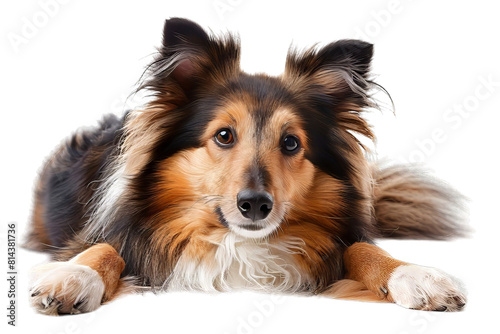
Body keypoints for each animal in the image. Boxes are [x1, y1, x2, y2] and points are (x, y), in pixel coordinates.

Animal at [24, 18, 468, 316]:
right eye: (223, 135)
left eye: (291, 142)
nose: (255, 205)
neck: (235, 242)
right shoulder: (108, 231)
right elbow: (103, 248)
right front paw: (73, 278)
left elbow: (363, 248)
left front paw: (415, 275)